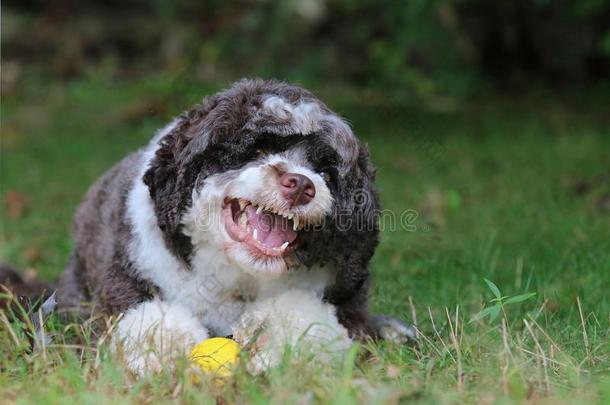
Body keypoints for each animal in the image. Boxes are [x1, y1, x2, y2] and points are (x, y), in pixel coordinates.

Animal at [1, 78, 414, 372]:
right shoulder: (125, 283)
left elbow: (309, 320)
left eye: (326, 172)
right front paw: (170, 354)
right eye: (260, 149)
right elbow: (147, 321)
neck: (237, 278)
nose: (300, 184)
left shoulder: (341, 300)